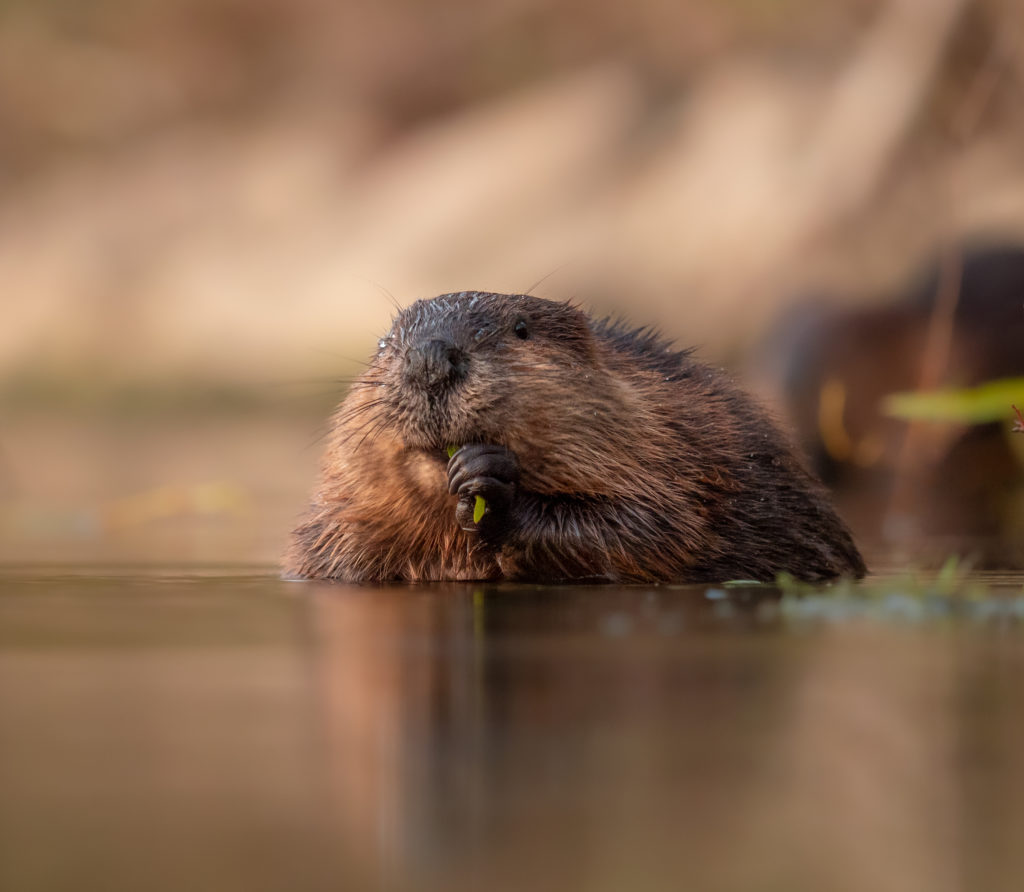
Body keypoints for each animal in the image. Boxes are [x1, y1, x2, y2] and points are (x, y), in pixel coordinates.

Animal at [284, 290, 868, 585]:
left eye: (520, 329)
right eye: (386, 344)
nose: (429, 359)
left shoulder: (670, 445)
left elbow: (649, 528)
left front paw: (488, 482)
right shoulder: (336, 527)